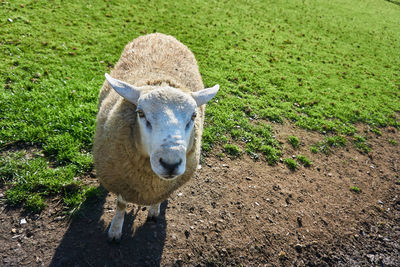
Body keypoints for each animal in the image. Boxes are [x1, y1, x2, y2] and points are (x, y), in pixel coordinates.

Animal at [92, 33, 219, 243]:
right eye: (141, 113)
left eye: (193, 116)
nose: (170, 164)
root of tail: (161, 34)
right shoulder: (123, 179)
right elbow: (120, 204)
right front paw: (115, 229)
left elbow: (159, 199)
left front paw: (153, 211)